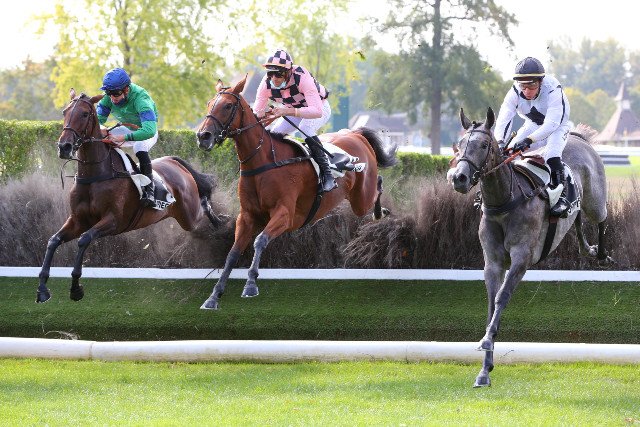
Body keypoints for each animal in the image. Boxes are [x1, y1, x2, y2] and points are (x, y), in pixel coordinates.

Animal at [36, 89, 220, 303]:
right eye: (64, 112)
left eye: (84, 114)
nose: (64, 146)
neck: (95, 175)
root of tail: (174, 162)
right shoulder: (78, 220)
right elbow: (53, 241)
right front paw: (42, 289)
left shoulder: (114, 221)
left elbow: (84, 239)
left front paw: (76, 288)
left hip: (188, 216)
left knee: (203, 207)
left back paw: (220, 223)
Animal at [195, 76, 398, 310]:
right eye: (209, 103)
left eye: (228, 105)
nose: (203, 136)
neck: (263, 161)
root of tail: (356, 135)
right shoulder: (246, 216)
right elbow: (232, 253)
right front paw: (214, 296)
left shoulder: (285, 215)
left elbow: (260, 241)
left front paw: (250, 285)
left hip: (360, 200)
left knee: (377, 187)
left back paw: (380, 212)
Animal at [449, 107, 609, 388]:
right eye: (459, 144)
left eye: (483, 145)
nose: (459, 178)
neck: (505, 201)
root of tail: (579, 138)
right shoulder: (493, 262)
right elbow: (491, 304)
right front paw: (484, 370)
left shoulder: (521, 258)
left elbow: (502, 297)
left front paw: (487, 342)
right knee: (577, 217)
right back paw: (586, 248)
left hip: (595, 199)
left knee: (600, 218)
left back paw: (600, 253)